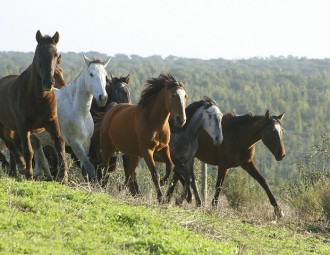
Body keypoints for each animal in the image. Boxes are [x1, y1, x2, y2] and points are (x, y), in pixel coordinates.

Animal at [0, 30, 67, 182]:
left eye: (55, 55)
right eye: (39, 54)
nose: (48, 82)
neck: (38, 98)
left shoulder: (52, 122)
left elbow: (59, 143)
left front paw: (63, 176)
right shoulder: (23, 126)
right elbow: (28, 150)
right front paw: (29, 174)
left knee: (12, 144)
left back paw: (15, 169)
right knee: (10, 143)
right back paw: (21, 166)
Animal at [99, 73, 187, 201]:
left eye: (185, 96)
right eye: (173, 95)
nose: (181, 120)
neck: (154, 122)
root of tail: (112, 109)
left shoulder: (164, 148)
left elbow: (170, 166)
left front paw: (163, 182)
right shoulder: (147, 151)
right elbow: (155, 173)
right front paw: (160, 197)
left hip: (134, 155)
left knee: (130, 174)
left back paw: (122, 188)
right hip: (107, 148)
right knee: (105, 169)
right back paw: (101, 187)